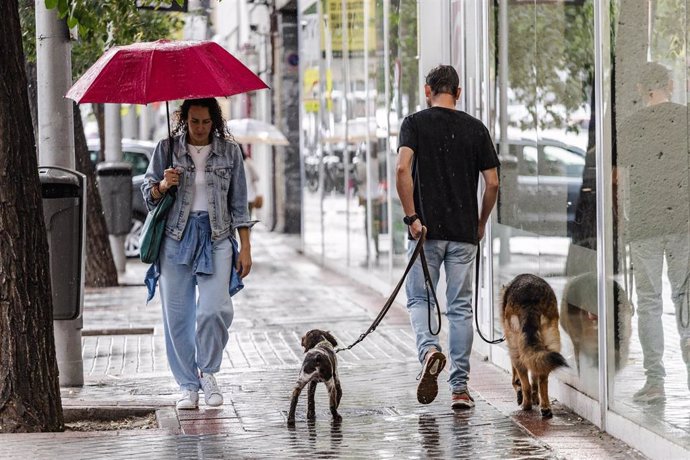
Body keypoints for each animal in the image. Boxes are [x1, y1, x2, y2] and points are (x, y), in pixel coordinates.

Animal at [500, 274, 564, 418]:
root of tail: (530, 300)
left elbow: (516, 379)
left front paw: (519, 391)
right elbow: (535, 377)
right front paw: (536, 398)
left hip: (516, 350)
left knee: (526, 385)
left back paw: (526, 405)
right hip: (550, 342)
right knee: (542, 379)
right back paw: (545, 407)